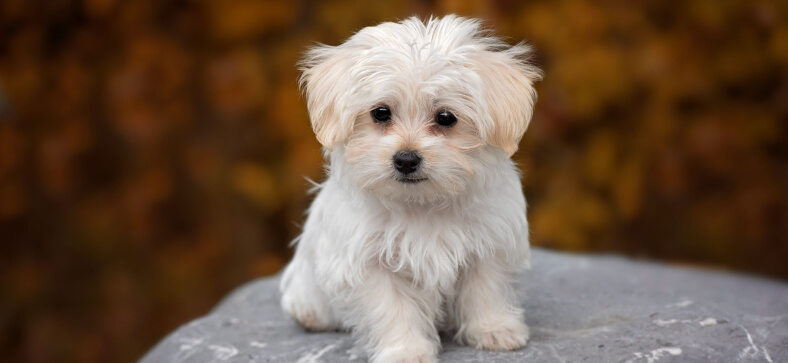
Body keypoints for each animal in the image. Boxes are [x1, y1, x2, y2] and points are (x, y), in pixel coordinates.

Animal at [278, 14, 540, 363]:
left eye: (446, 118)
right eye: (380, 113)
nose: (406, 159)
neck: (421, 204)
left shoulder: (488, 242)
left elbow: (486, 289)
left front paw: (494, 328)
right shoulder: (370, 262)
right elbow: (393, 308)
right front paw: (405, 350)